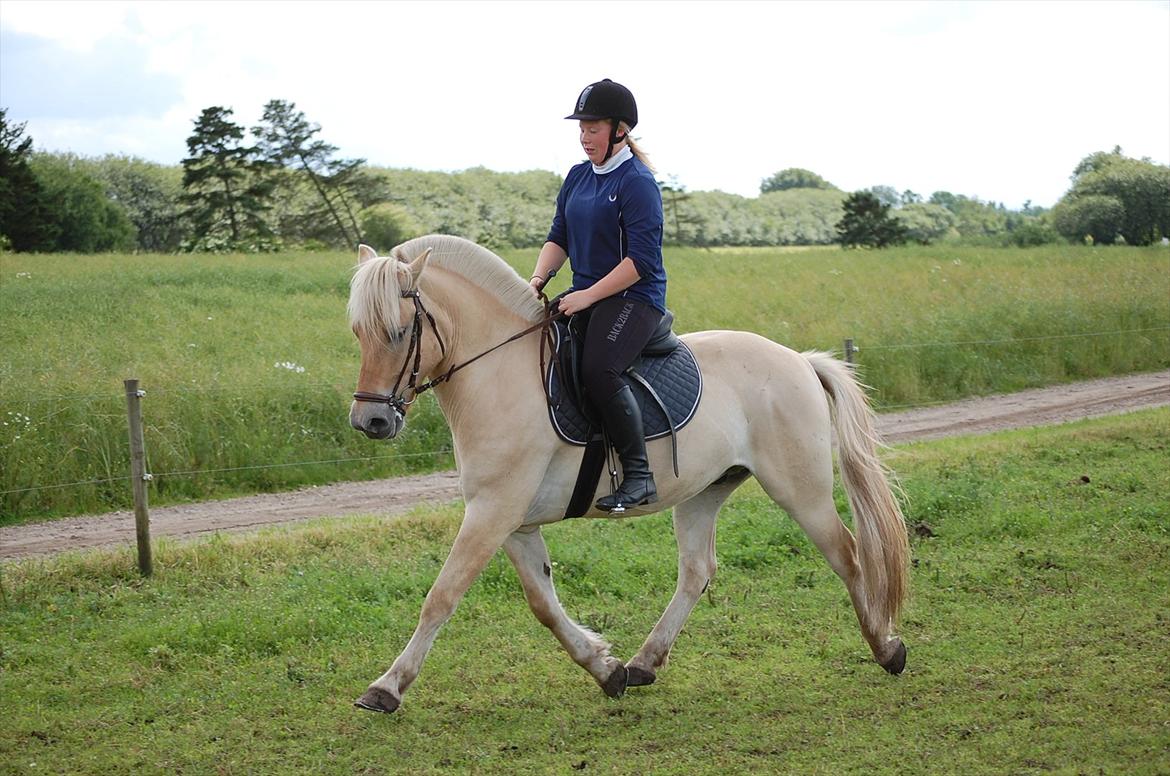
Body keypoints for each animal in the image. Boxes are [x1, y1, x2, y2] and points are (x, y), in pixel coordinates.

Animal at [341, 234, 907, 711]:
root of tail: (799, 360)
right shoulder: (513, 522)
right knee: (697, 571)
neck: (500, 375)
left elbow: (441, 596)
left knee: (847, 553)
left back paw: (887, 648)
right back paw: (643, 663)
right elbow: (542, 603)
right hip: (705, 490)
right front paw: (605, 668)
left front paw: (386, 687)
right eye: (358, 332)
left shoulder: (492, 512)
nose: (370, 422)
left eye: (398, 332)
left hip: (799, 490)